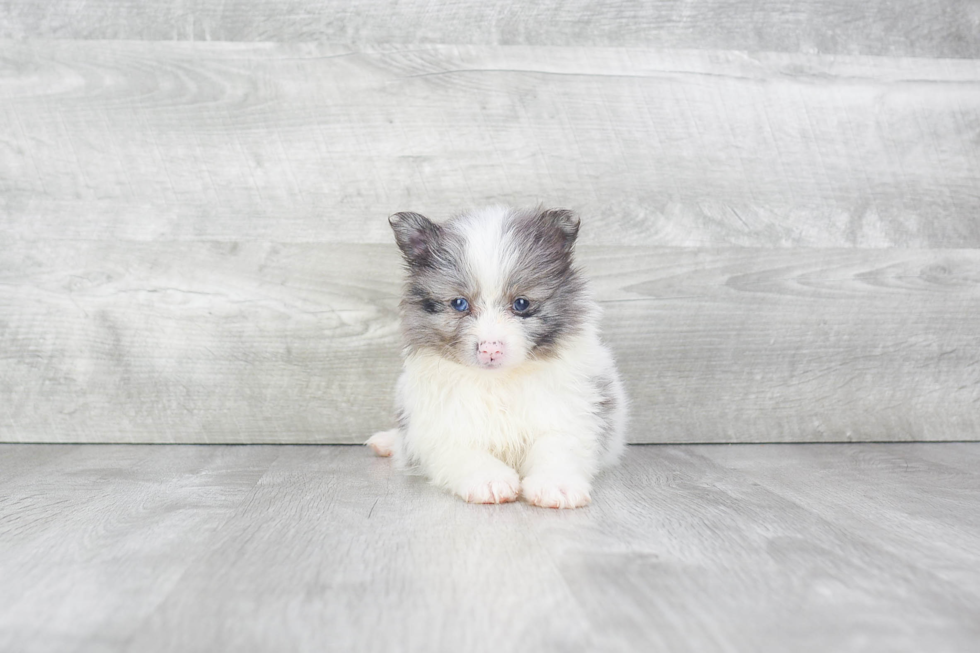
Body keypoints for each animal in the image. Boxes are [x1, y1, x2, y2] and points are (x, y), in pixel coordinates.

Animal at [368, 206, 628, 506]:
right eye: (459, 304)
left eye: (521, 304)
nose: (490, 348)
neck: (498, 381)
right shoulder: (444, 427)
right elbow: (467, 454)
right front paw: (491, 482)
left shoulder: (565, 415)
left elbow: (555, 449)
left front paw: (556, 487)